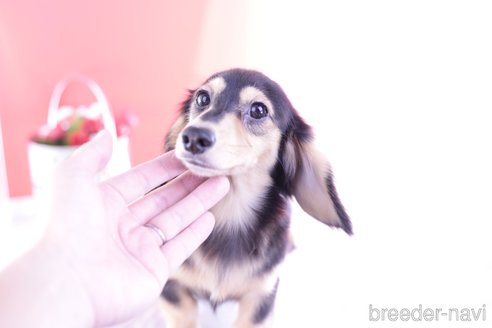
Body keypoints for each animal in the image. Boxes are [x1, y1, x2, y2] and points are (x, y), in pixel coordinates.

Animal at [161, 68, 350, 326]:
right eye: (202, 98)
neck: (230, 213)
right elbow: (185, 313)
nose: (193, 137)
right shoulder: (172, 287)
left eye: (258, 110)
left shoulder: (261, 299)